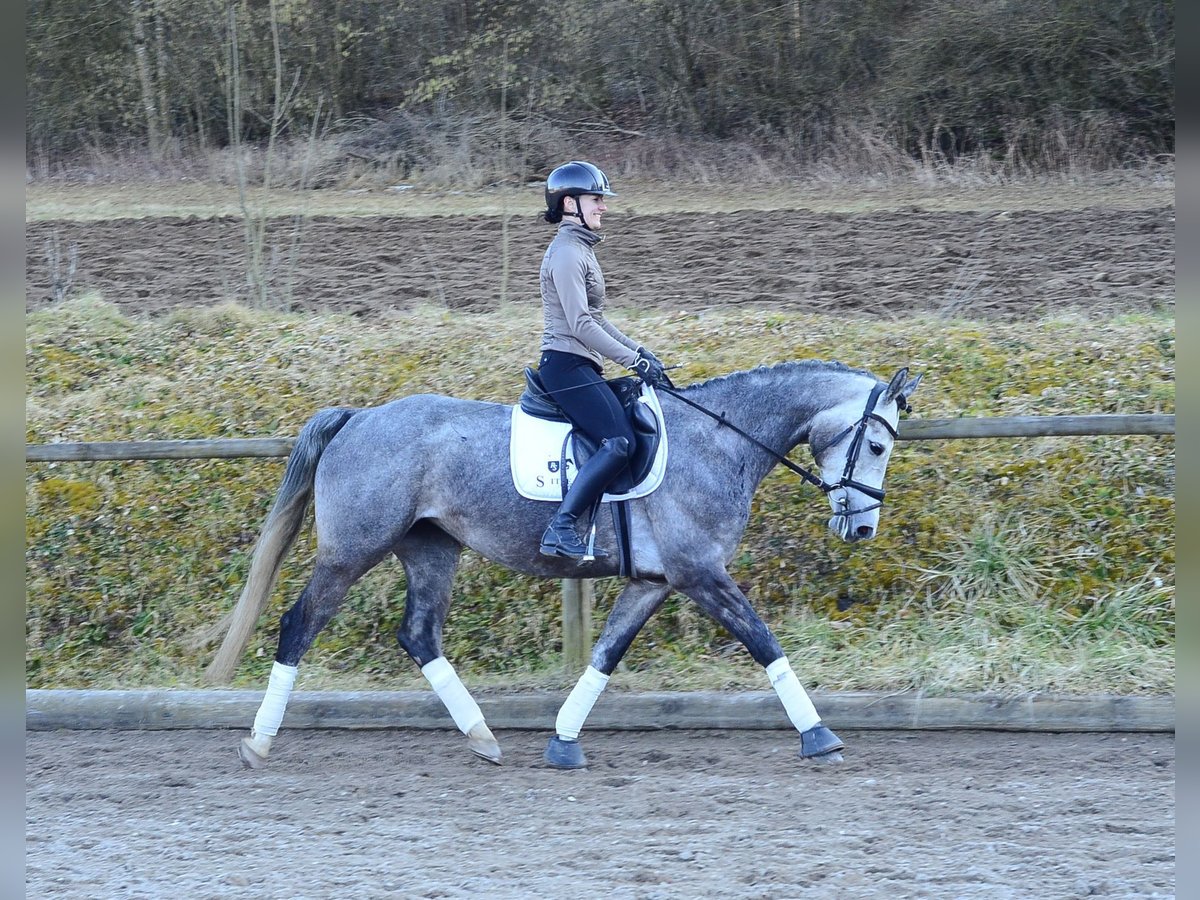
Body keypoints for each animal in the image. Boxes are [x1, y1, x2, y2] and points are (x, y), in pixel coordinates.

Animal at [206, 362, 916, 772]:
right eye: (878, 446)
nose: (862, 528)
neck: (720, 441)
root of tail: (359, 418)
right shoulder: (700, 574)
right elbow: (765, 642)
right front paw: (820, 736)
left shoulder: (655, 582)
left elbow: (605, 654)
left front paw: (564, 742)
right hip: (352, 551)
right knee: (300, 625)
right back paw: (258, 743)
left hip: (430, 549)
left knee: (420, 635)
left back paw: (483, 738)